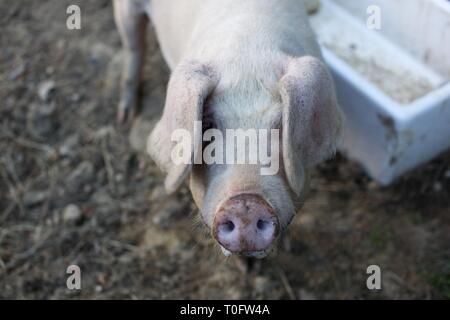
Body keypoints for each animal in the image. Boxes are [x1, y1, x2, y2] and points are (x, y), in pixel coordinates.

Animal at [113, 0, 344, 258]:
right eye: (207, 126)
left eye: (281, 125)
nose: (245, 205)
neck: (248, 49)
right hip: (125, 11)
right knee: (133, 48)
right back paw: (125, 116)